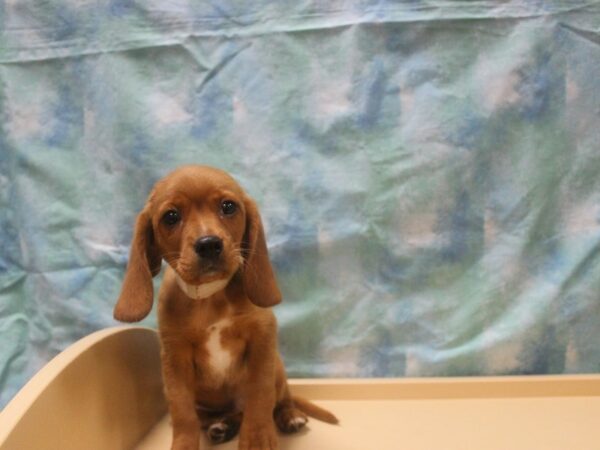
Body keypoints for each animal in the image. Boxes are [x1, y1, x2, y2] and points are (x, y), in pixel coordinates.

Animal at [113, 166, 338, 450]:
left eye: (228, 207)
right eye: (171, 217)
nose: (209, 244)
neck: (211, 297)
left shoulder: (262, 340)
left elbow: (260, 398)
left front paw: (258, 439)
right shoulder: (174, 359)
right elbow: (183, 413)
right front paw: (185, 445)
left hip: (278, 368)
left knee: (279, 399)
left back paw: (289, 416)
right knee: (219, 415)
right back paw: (222, 426)